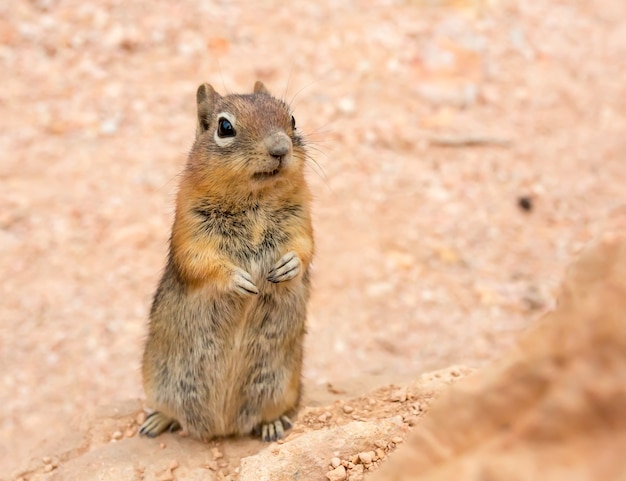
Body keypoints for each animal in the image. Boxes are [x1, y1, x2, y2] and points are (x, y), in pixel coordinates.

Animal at [142, 80, 316, 440]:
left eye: (292, 119)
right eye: (225, 127)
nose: (280, 148)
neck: (255, 199)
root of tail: (223, 427)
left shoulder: (301, 217)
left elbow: (305, 247)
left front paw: (288, 266)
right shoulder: (191, 228)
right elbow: (199, 261)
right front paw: (239, 280)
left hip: (283, 385)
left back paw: (272, 424)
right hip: (156, 380)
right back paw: (157, 421)